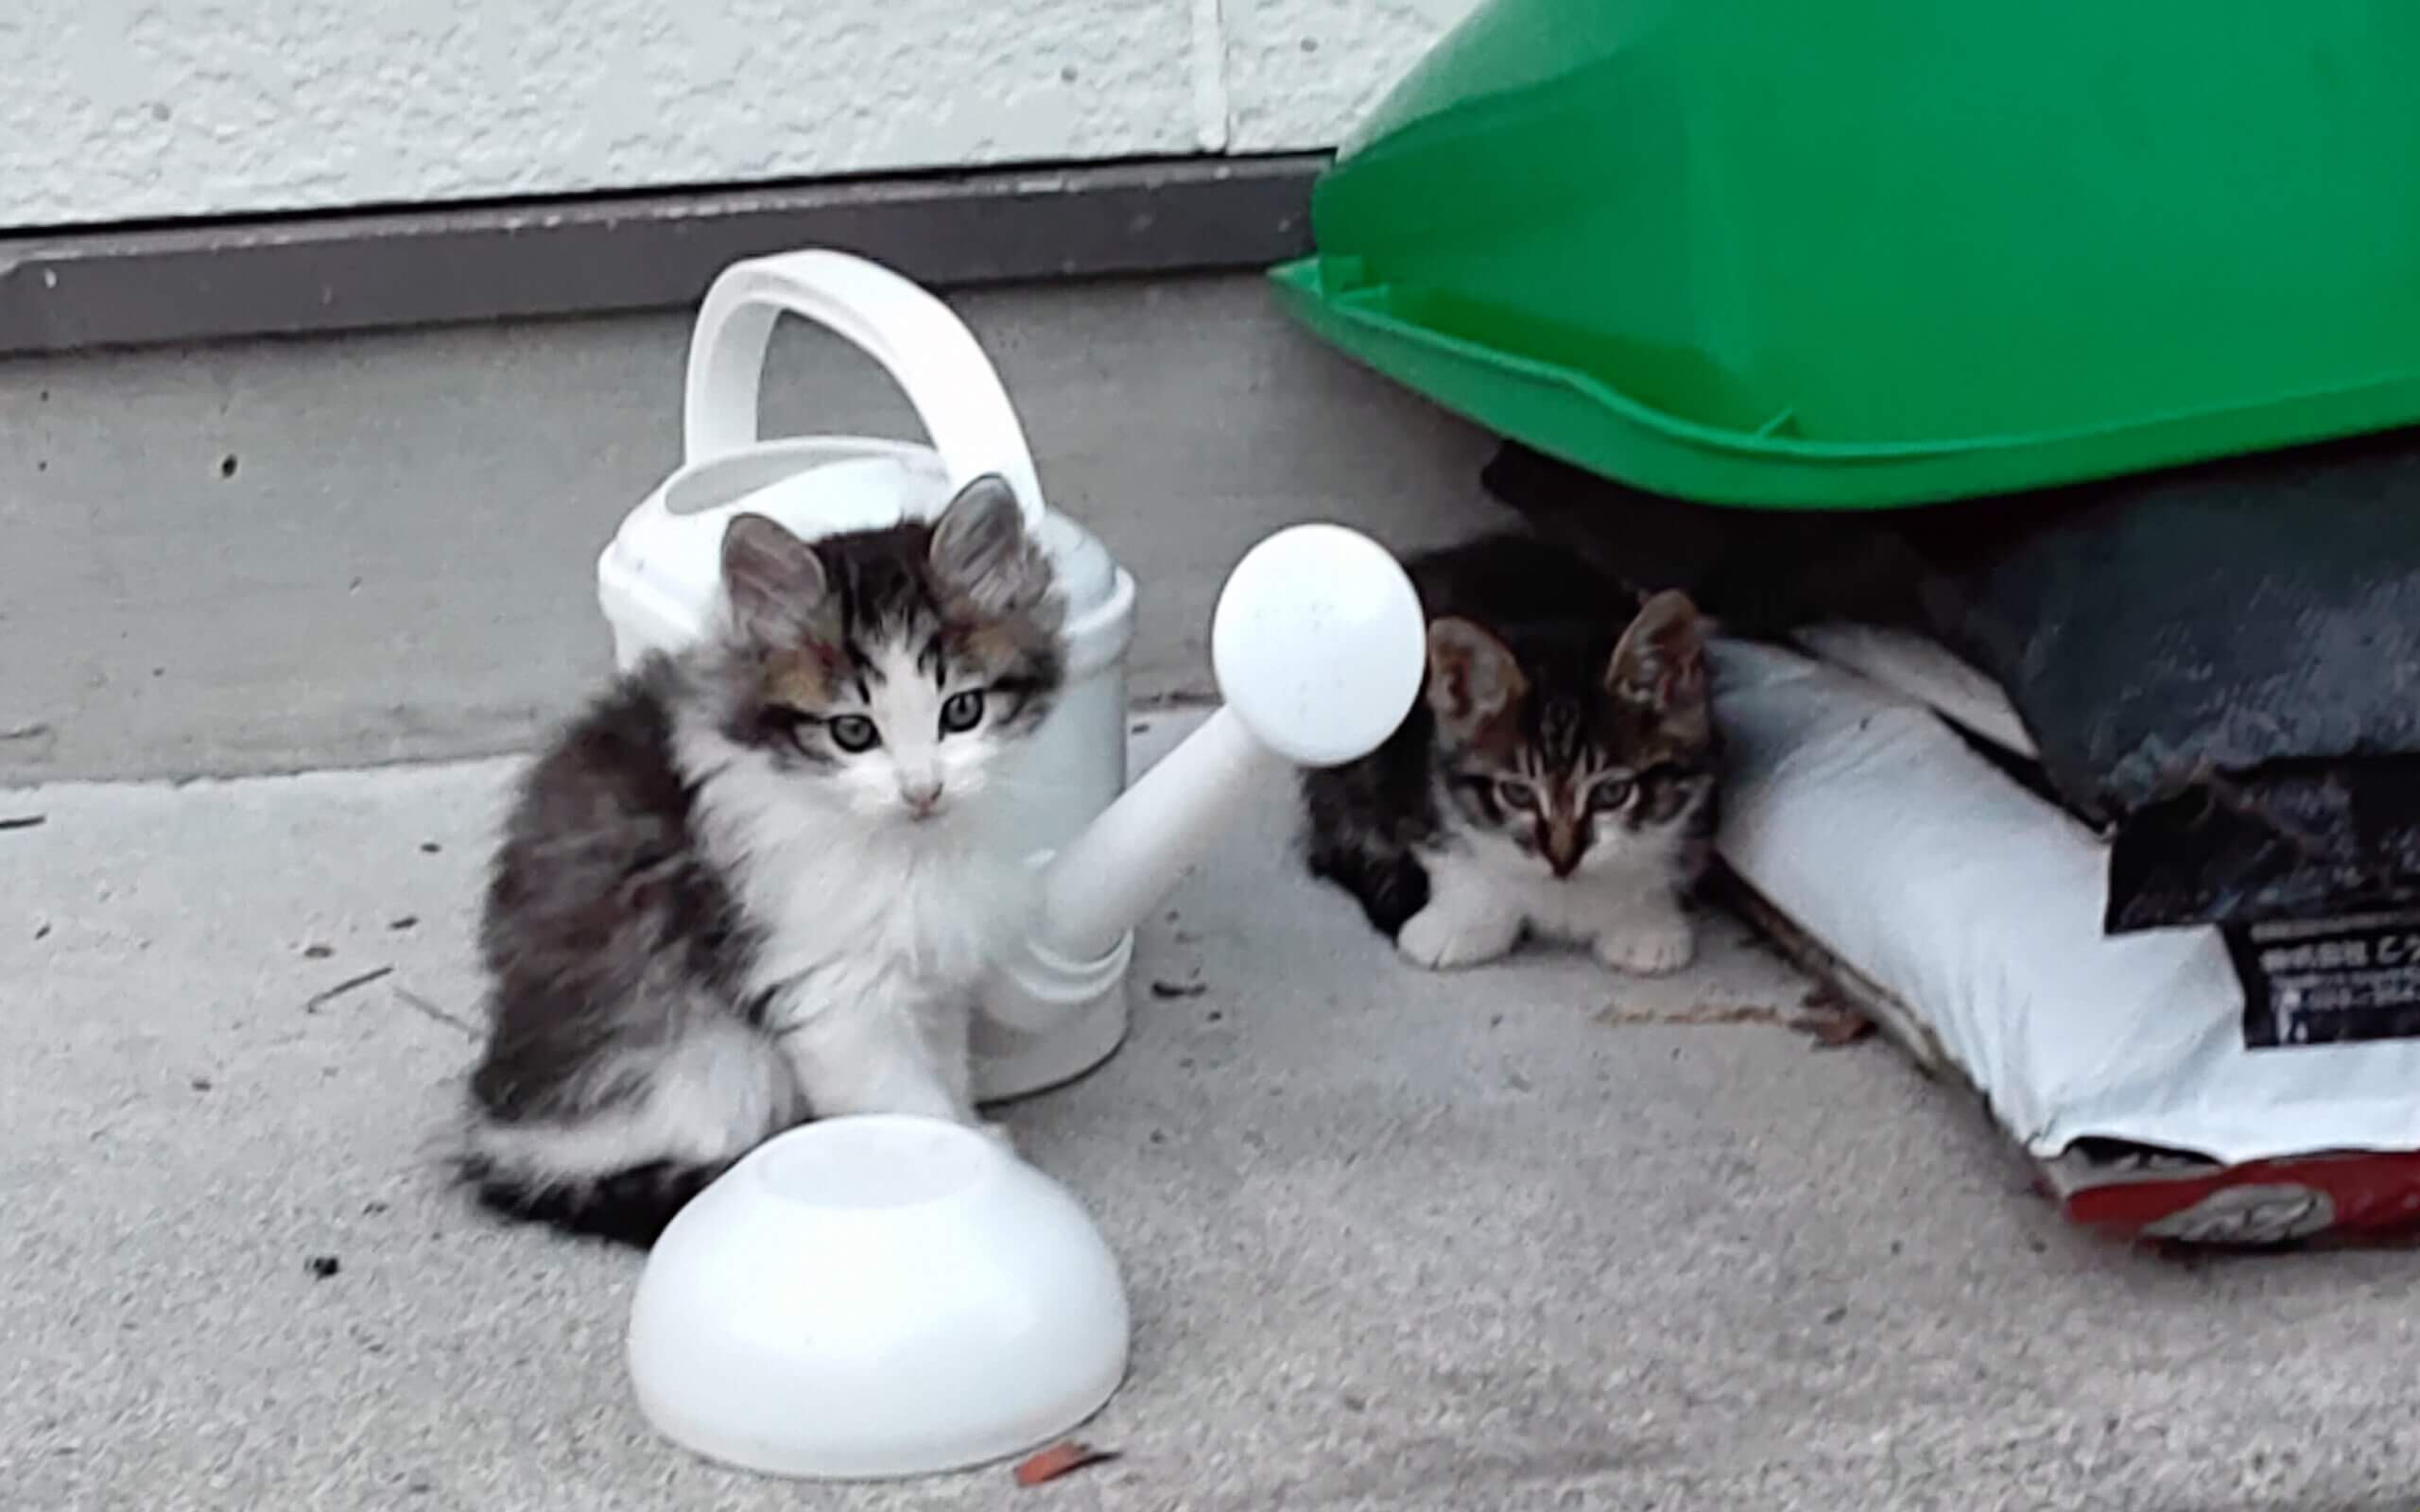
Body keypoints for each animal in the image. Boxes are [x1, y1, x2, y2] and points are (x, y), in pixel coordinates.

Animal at [459, 476, 1063, 1246]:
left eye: (961, 712)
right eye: (853, 731)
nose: (922, 790)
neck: (909, 849)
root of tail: (501, 1129)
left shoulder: (930, 973)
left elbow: (947, 1068)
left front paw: (974, 1135)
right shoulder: (831, 996)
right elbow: (905, 1103)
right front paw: (952, 1168)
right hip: (710, 1065)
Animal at [1302, 533, 1716, 974]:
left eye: (1612, 793)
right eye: (1517, 793)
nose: (1562, 861)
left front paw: (1644, 921)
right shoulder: (1409, 767)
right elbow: (1445, 844)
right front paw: (1462, 922)